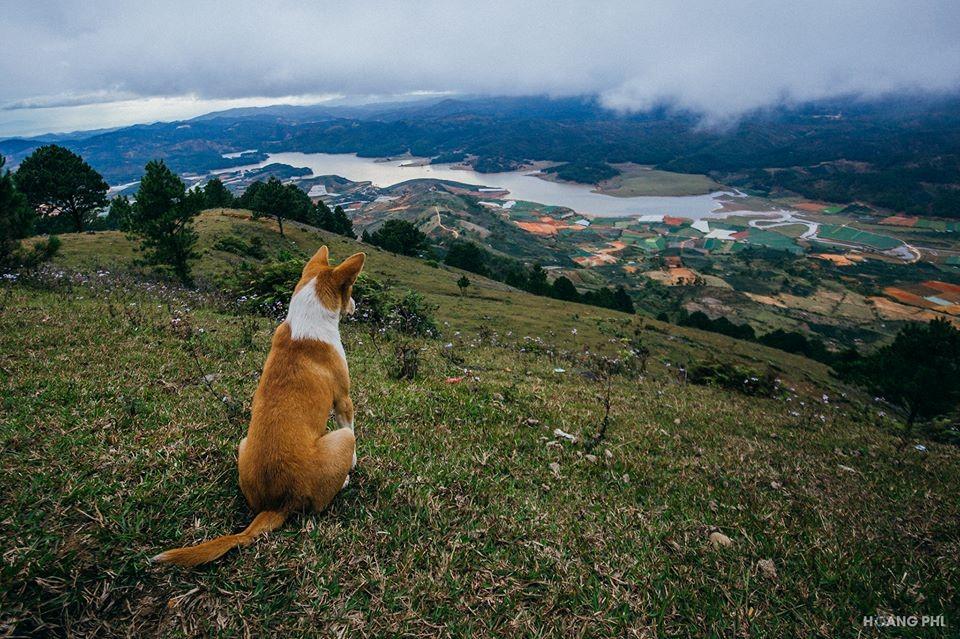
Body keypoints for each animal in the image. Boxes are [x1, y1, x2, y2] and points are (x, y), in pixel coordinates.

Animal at [154, 248, 364, 568]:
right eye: (350, 289)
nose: (354, 305)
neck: (306, 318)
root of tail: (278, 503)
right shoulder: (343, 400)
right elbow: (349, 424)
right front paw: (354, 465)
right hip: (339, 443)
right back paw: (344, 482)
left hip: (243, 443)